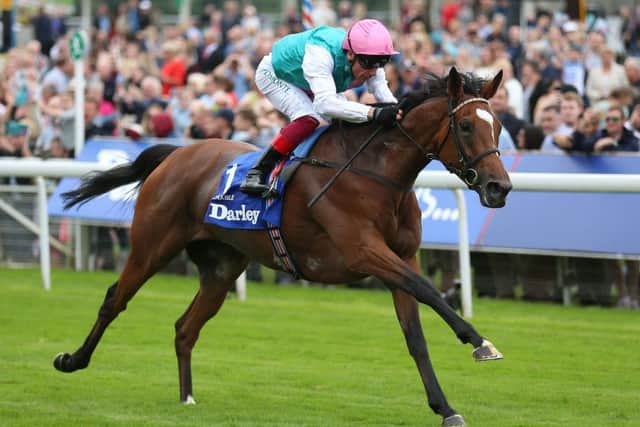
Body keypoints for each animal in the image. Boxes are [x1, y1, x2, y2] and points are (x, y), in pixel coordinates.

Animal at [53, 67, 510, 427]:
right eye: (466, 126)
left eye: (499, 127)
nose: (499, 187)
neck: (377, 173)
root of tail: (176, 155)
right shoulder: (363, 250)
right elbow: (430, 290)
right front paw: (478, 340)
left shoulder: (402, 256)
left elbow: (415, 335)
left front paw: (446, 407)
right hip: (152, 245)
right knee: (115, 299)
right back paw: (72, 360)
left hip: (221, 268)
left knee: (185, 327)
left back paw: (187, 397)